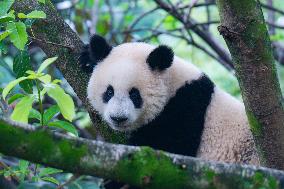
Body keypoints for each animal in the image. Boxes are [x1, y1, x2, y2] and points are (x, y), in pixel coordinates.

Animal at [79, 34, 260, 165]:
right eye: (109, 92)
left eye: (135, 95)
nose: (118, 118)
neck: (173, 83)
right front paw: (88, 56)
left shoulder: (186, 107)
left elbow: (169, 149)